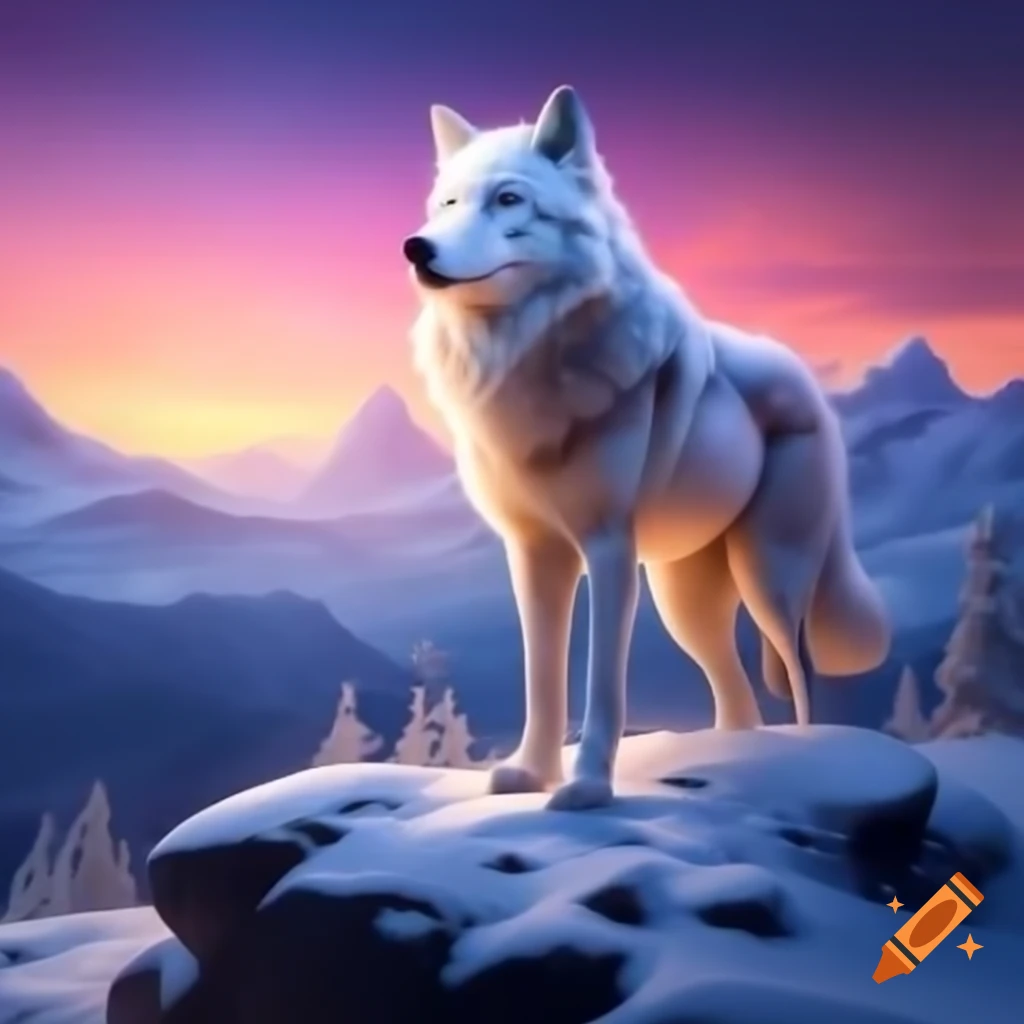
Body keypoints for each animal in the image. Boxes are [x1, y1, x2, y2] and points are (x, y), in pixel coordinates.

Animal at [404, 85, 890, 809]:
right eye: (448, 204)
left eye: (509, 199)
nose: (417, 247)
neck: (525, 356)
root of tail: (807, 380)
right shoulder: (534, 554)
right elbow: (543, 678)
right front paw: (529, 774)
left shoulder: (607, 548)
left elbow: (603, 683)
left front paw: (587, 788)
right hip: (685, 601)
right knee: (739, 698)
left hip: (769, 581)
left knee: (800, 675)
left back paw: (807, 760)